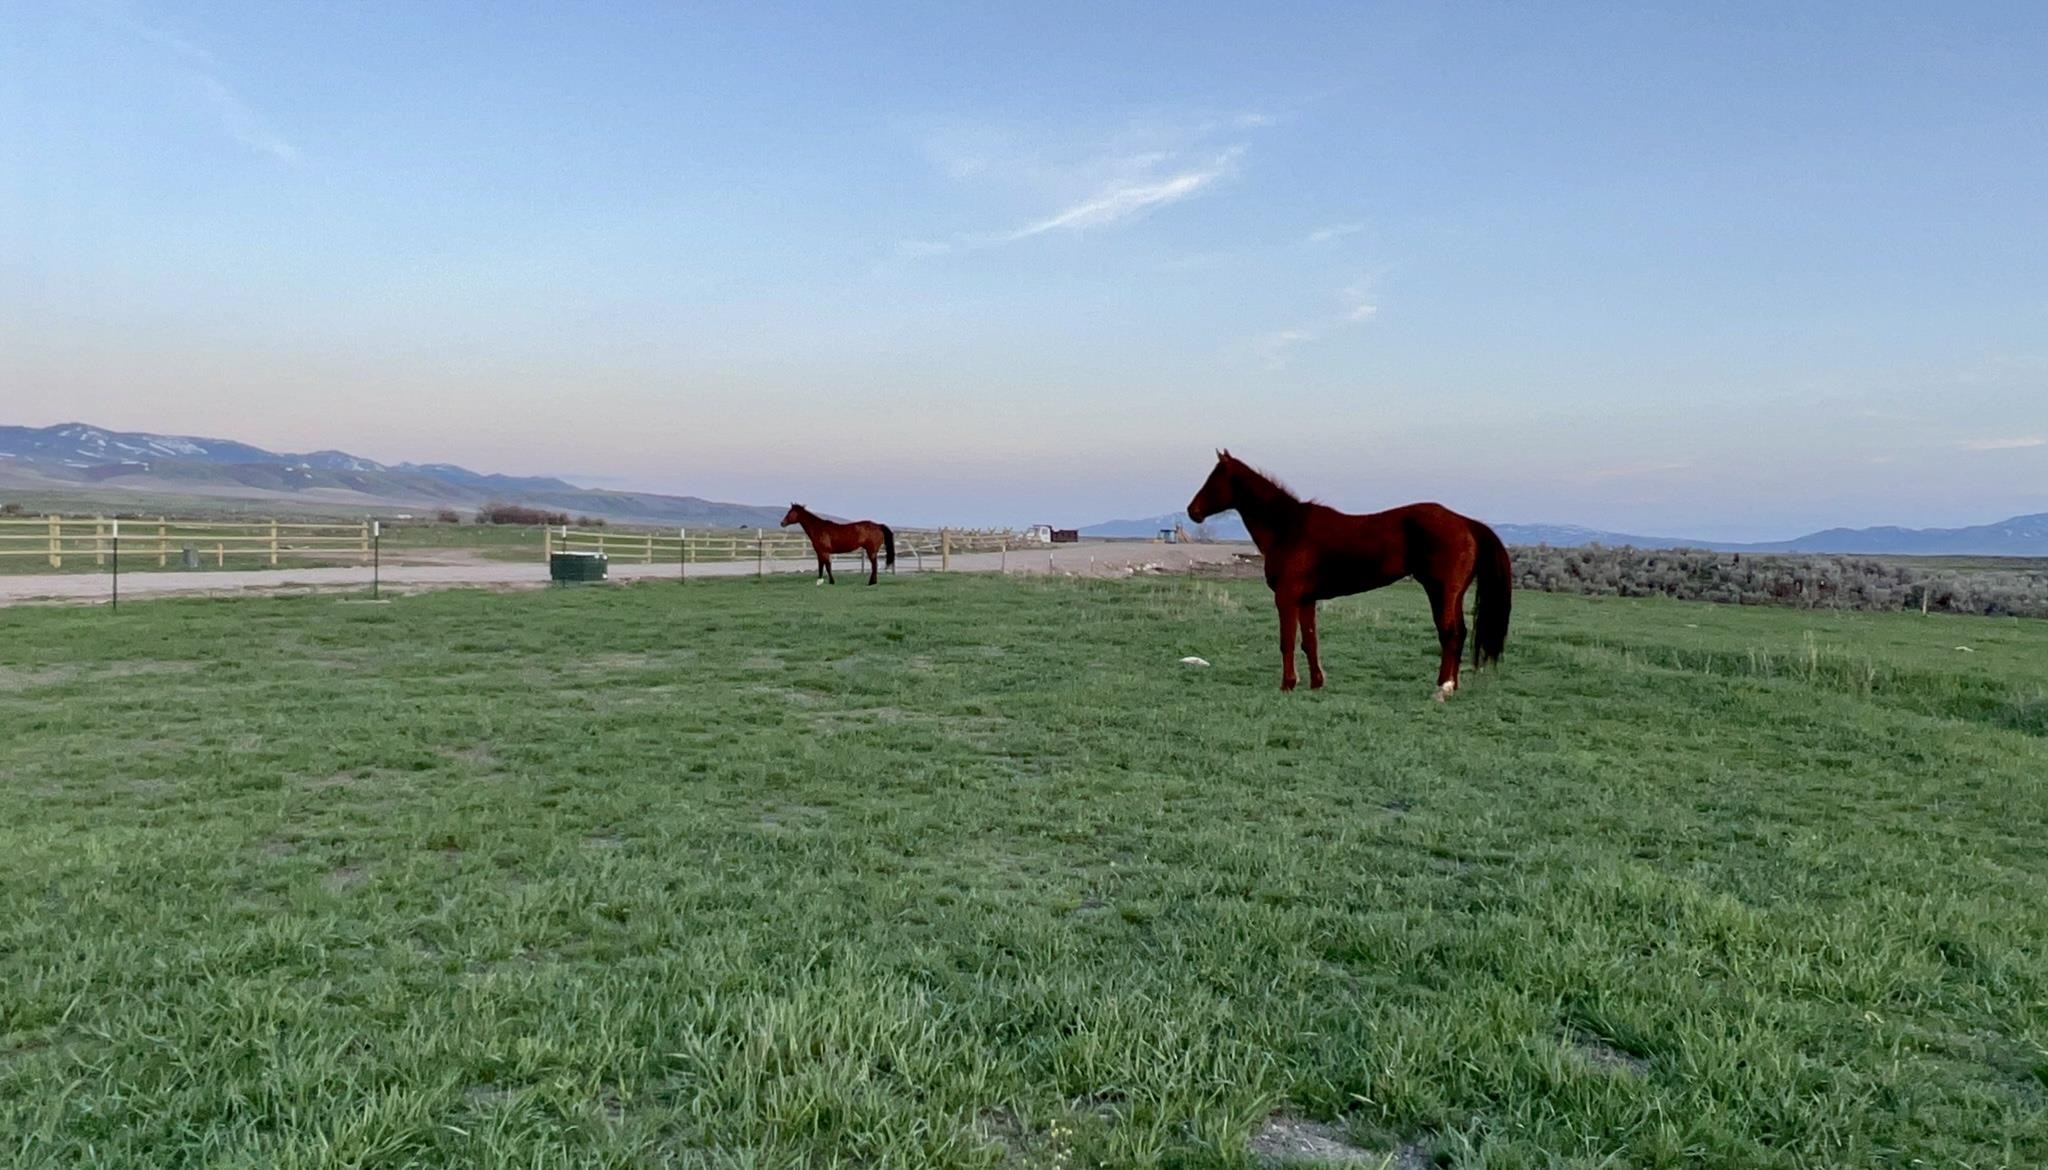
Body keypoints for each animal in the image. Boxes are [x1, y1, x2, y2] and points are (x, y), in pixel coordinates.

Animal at [1196, 452, 1515, 700]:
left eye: (1213, 480)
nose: (1192, 510)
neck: (1288, 528)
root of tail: (1465, 522)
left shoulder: (1286, 598)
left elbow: (1287, 642)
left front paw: (1287, 685)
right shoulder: (1306, 600)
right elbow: (1309, 641)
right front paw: (1316, 684)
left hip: (1441, 592)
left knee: (1451, 634)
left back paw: (1442, 689)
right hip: (1454, 595)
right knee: (1459, 633)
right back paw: (1452, 686)